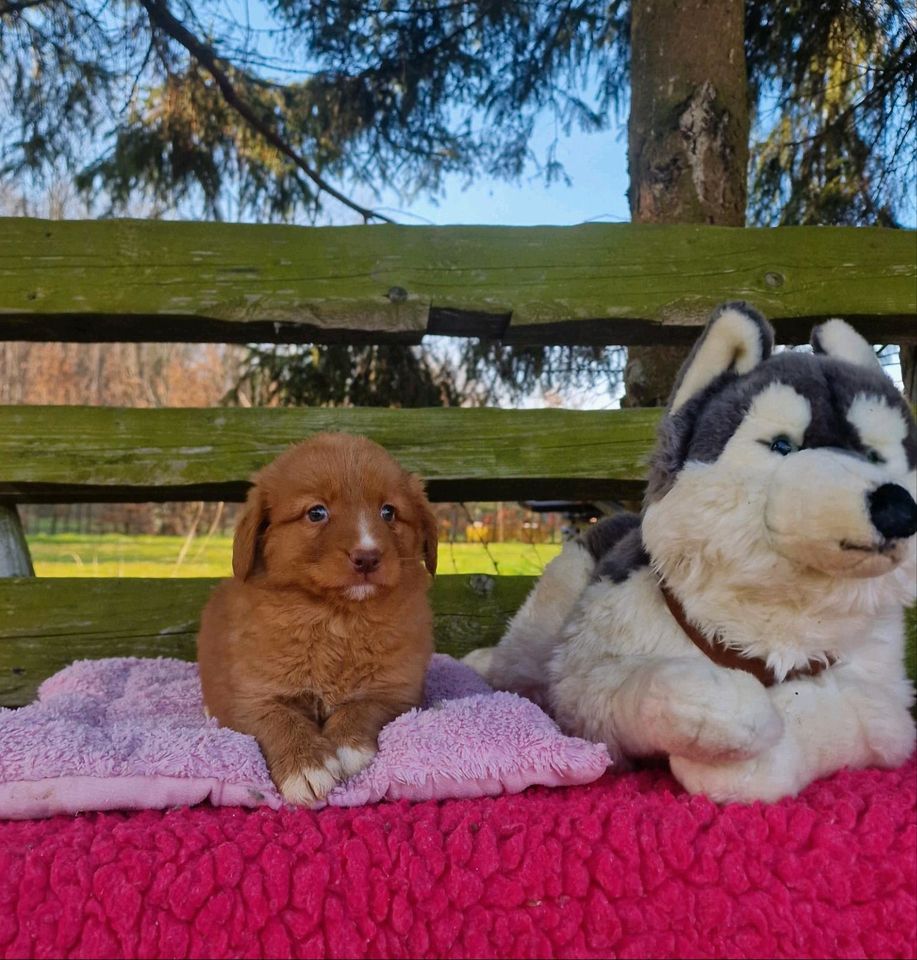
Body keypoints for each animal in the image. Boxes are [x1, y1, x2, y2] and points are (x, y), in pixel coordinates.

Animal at [196, 434, 436, 804]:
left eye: (388, 511)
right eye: (316, 513)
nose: (367, 557)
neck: (338, 618)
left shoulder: (400, 689)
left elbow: (366, 705)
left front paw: (344, 744)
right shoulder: (250, 695)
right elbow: (279, 719)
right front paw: (305, 766)